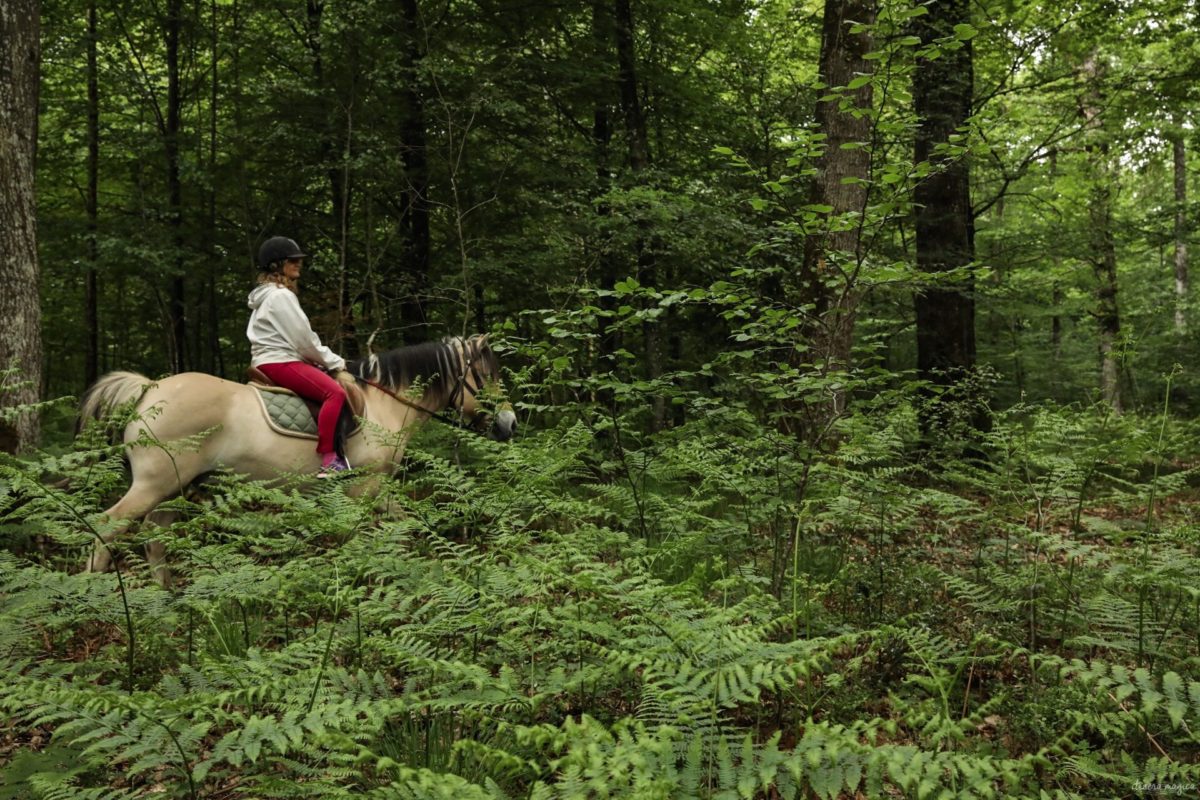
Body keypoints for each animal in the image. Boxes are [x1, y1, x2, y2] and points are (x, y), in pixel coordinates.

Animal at [79, 335, 511, 578]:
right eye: (488, 376)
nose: (510, 422)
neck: (383, 403)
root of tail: (149, 390)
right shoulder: (364, 489)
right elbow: (367, 536)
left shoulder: (374, 489)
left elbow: (402, 524)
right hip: (153, 486)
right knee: (106, 527)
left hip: (175, 489)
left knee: (154, 539)